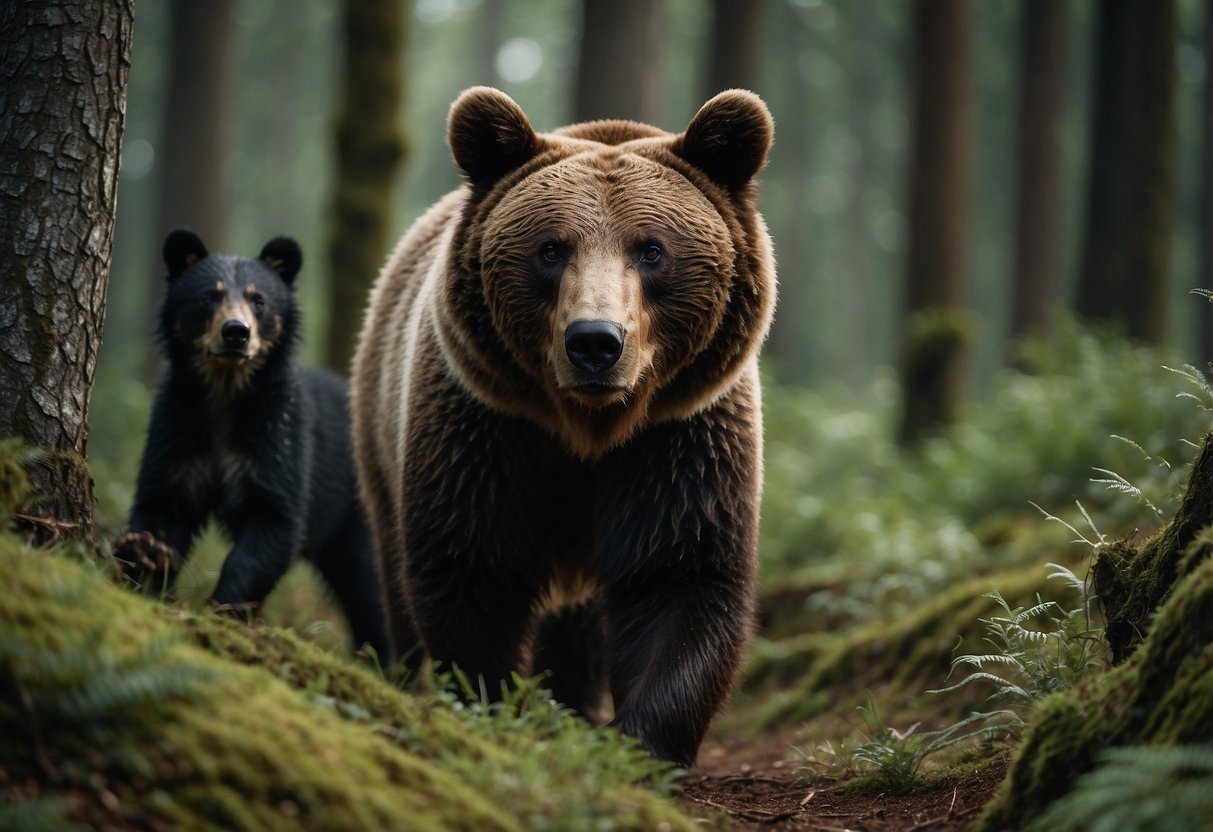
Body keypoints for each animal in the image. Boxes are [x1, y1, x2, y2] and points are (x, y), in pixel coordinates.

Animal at [115, 229, 385, 659]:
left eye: (258, 301)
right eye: (209, 296)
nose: (236, 332)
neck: (227, 396)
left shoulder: (280, 440)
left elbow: (273, 521)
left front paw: (223, 611)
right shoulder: (177, 431)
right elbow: (164, 502)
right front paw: (146, 555)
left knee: (372, 590)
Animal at [349, 86, 776, 771]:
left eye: (651, 249)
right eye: (551, 248)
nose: (595, 342)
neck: (589, 426)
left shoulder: (682, 435)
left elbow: (678, 575)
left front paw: (638, 745)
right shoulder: (487, 426)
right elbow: (472, 568)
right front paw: (495, 707)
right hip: (379, 434)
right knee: (397, 573)